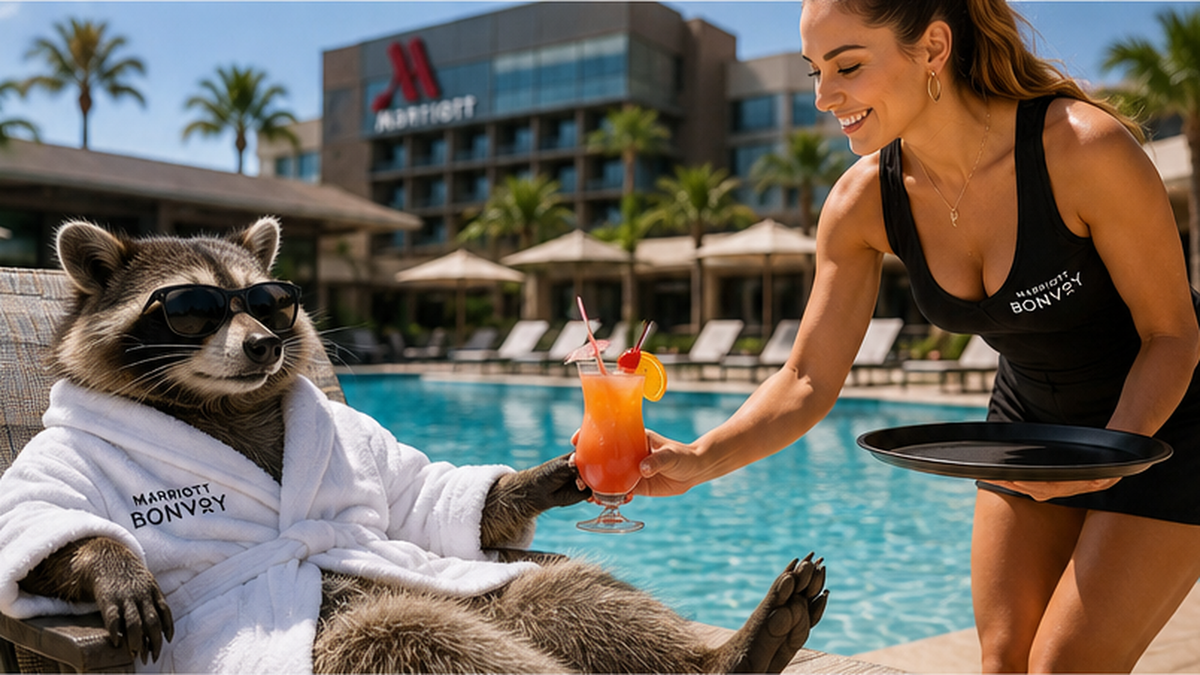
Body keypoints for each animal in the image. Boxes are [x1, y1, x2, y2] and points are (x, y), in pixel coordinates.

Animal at [8, 218, 828, 673]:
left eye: (268, 300)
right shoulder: (64, 451)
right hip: (352, 630)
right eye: (189, 309)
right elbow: (36, 518)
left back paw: (730, 652)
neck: (223, 404)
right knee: (416, 637)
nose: (266, 343)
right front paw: (108, 559)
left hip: (475, 583)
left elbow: (426, 499)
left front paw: (553, 474)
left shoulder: (365, 448)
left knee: (558, 590)